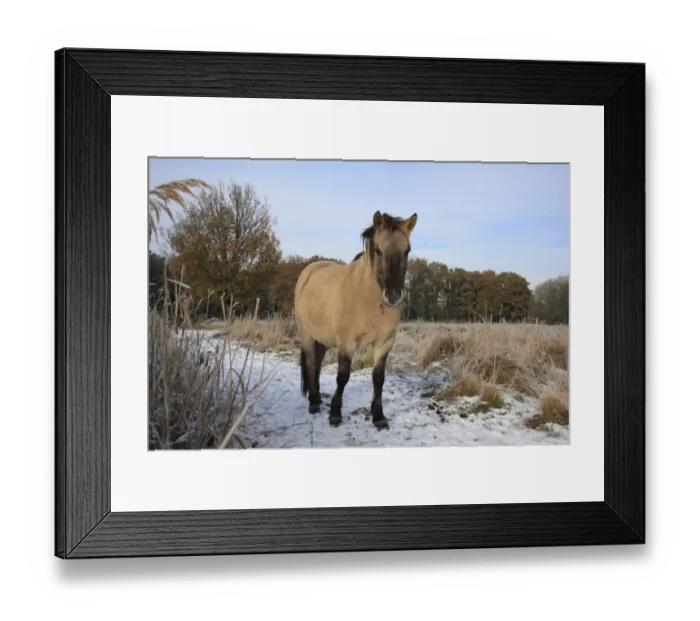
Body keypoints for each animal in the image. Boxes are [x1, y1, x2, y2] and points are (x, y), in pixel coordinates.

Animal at [293, 210, 418, 430]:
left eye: (407, 250)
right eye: (378, 250)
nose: (393, 296)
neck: (368, 298)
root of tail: (310, 270)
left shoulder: (384, 343)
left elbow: (378, 379)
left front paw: (378, 416)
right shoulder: (346, 343)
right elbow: (342, 377)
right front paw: (335, 414)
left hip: (322, 339)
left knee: (317, 365)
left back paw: (317, 398)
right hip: (306, 334)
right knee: (310, 363)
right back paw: (314, 403)